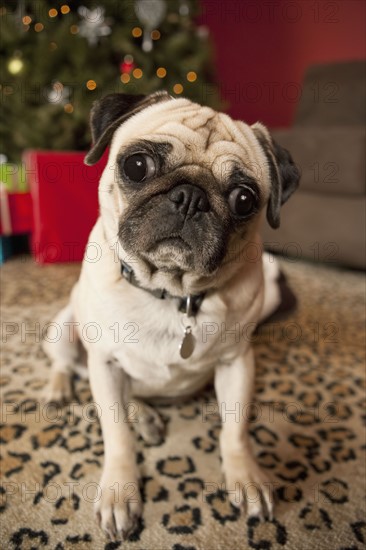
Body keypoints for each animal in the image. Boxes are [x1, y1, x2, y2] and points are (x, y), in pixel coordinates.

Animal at [43, 91, 300, 544]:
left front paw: (246, 476)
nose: (191, 198)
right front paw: (119, 491)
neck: (171, 293)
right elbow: (116, 435)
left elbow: (236, 429)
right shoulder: (105, 362)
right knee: (67, 363)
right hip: (64, 326)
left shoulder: (237, 363)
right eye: (136, 166)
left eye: (245, 200)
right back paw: (63, 390)